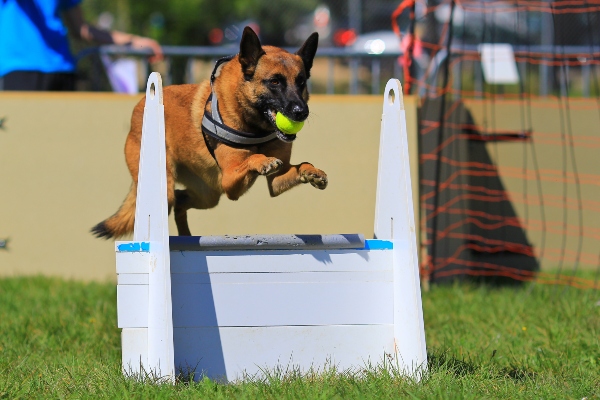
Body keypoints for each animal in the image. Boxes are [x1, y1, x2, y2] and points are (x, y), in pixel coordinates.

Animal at [91, 27, 328, 241]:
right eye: (275, 81)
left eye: (301, 82)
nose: (301, 112)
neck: (254, 125)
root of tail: (139, 106)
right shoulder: (230, 180)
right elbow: (252, 158)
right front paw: (262, 161)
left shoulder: (275, 183)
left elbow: (297, 166)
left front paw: (311, 172)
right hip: (169, 189)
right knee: (167, 205)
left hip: (208, 195)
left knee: (180, 201)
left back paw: (186, 237)